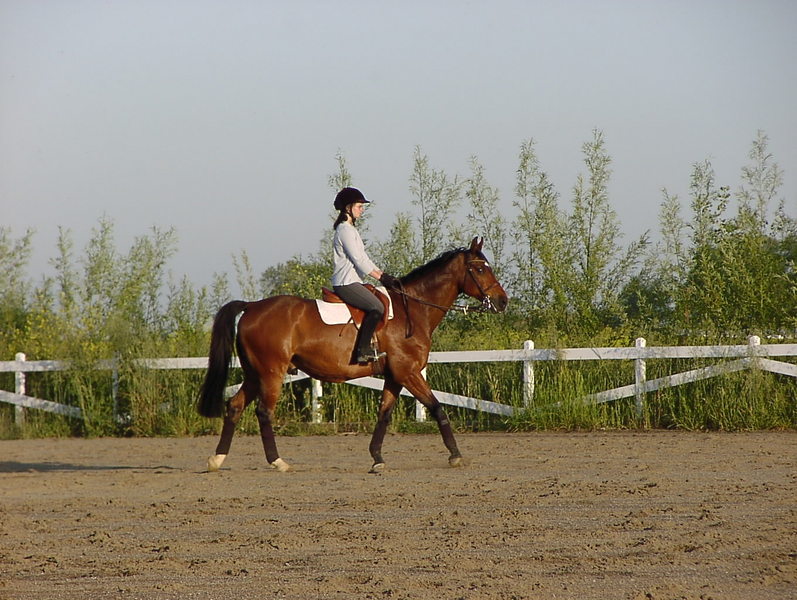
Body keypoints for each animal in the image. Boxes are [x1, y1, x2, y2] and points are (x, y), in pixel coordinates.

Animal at [196, 237, 509, 472]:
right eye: (481, 269)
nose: (503, 301)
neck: (413, 309)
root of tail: (252, 306)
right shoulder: (408, 372)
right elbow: (436, 407)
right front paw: (456, 455)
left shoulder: (394, 376)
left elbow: (384, 415)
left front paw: (377, 458)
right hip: (271, 372)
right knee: (263, 412)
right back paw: (278, 461)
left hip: (254, 374)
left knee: (235, 406)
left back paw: (217, 459)